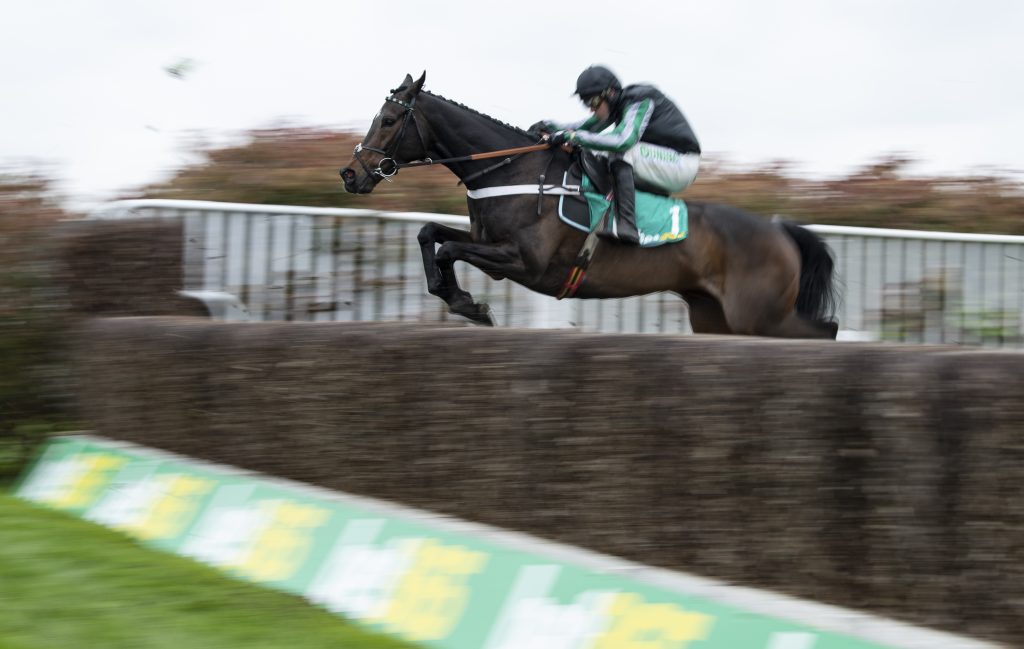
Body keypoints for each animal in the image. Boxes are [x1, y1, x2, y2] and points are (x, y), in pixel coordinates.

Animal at [339, 73, 835, 337]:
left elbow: (446, 251)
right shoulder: (489, 243)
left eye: (388, 119)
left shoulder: (524, 261)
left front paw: (467, 303)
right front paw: (461, 300)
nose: (350, 174)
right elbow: (431, 235)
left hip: (758, 314)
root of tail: (778, 230)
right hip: (714, 315)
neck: (510, 172)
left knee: (822, 330)